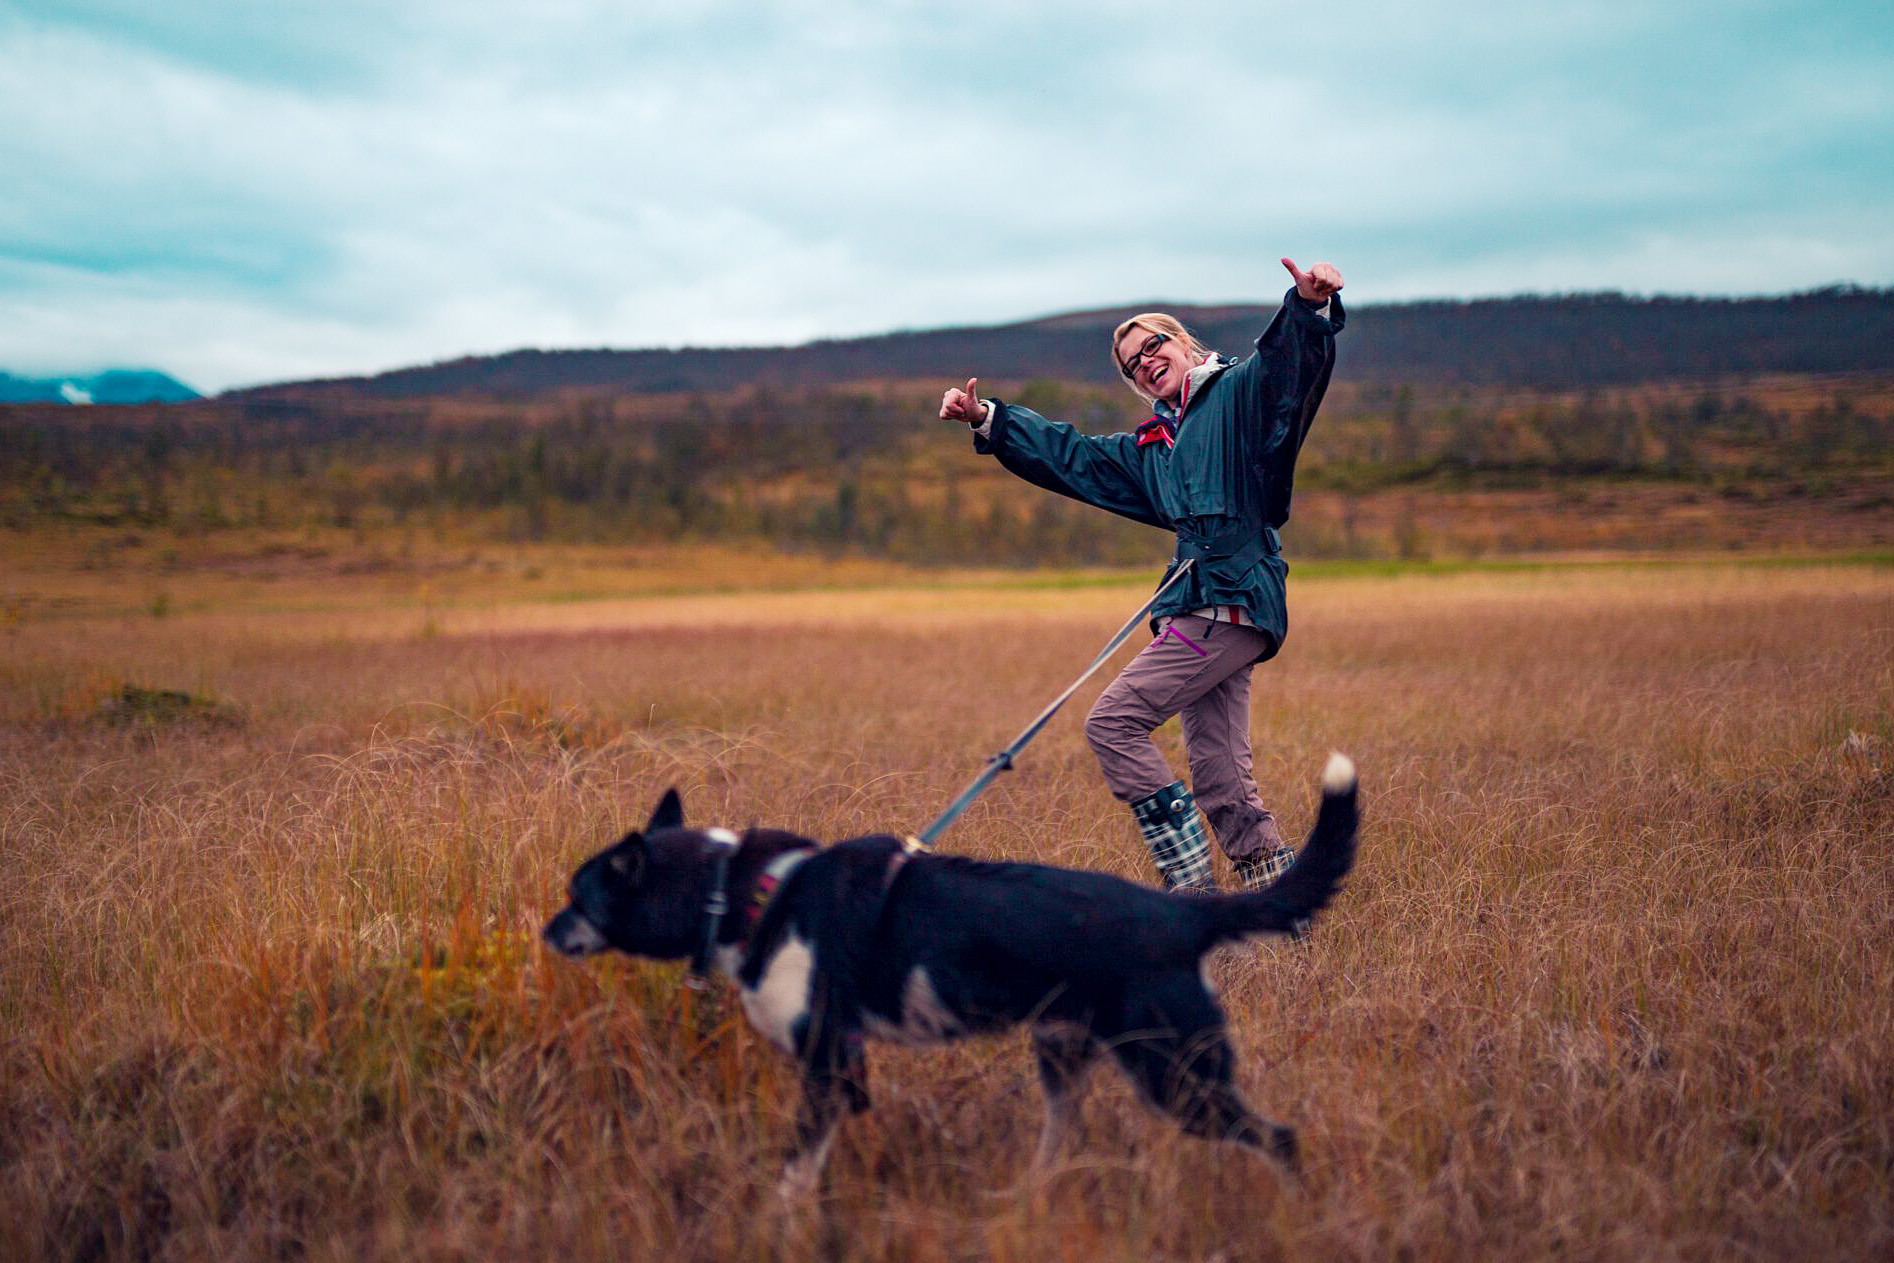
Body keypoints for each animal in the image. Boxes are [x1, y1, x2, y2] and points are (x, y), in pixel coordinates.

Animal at [541, 757, 1356, 1204]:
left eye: (578, 895)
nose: (544, 933)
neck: (746, 891)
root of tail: (1182, 914)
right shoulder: (848, 1071)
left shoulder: (827, 1062)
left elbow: (795, 1172)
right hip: (1064, 1057)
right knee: (1062, 1144)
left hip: (1177, 1075)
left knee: (1279, 1139)